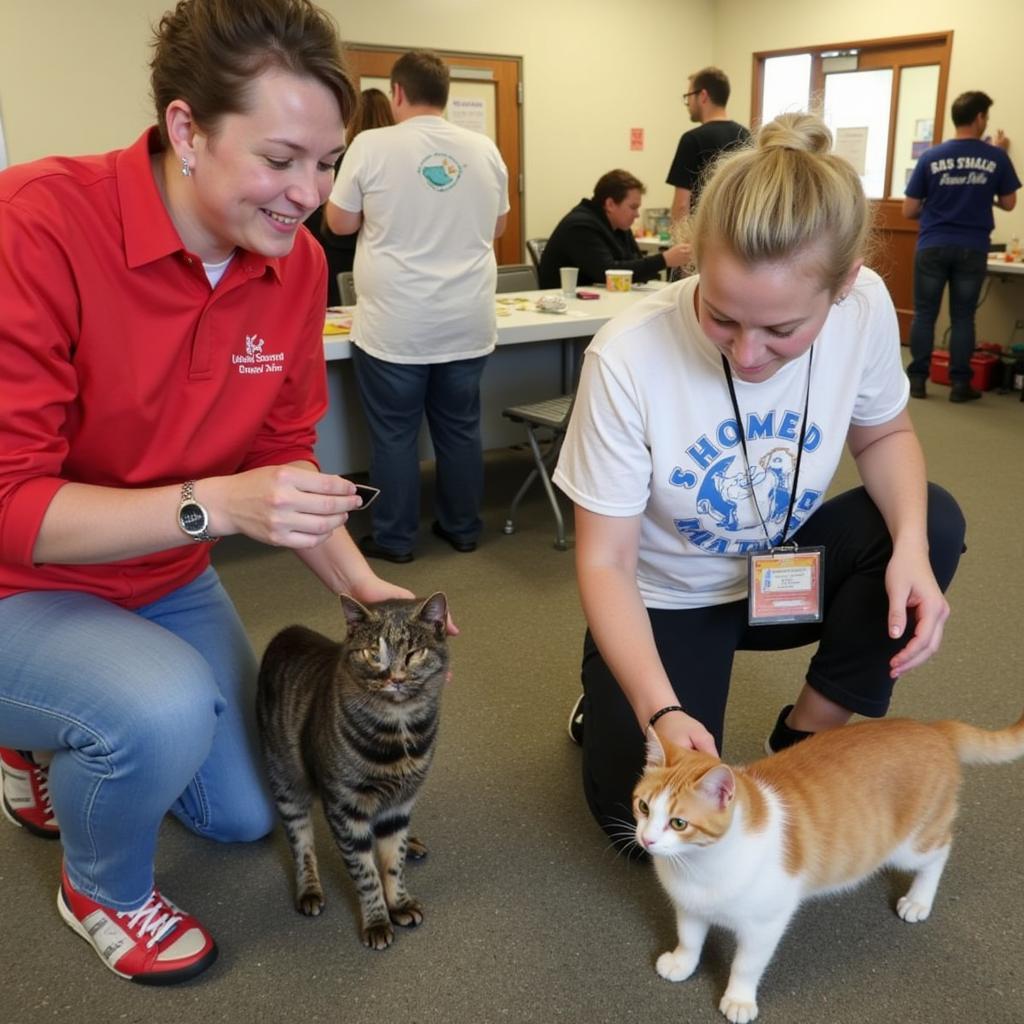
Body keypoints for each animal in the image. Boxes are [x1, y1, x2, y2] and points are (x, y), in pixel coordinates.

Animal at [256, 593, 448, 950]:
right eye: (373, 653)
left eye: (413, 653)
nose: (394, 678)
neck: (400, 729)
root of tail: (289, 631)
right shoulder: (346, 809)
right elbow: (366, 874)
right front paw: (377, 921)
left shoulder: (401, 804)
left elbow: (393, 863)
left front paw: (399, 902)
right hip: (286, 782)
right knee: (301, 844)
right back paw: (309, 889)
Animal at [630, 712, 1024, 1024]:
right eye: (644, 807)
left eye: (679, 823)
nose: (646, 840)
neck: (699, 867)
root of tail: (931, 728)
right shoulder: (689, 905)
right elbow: (689, 938)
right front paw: (682, 963)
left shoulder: (765, 924)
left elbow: (747, 964)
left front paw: (739, 998)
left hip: (913, 845)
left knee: (942, 850)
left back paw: (919, 900)